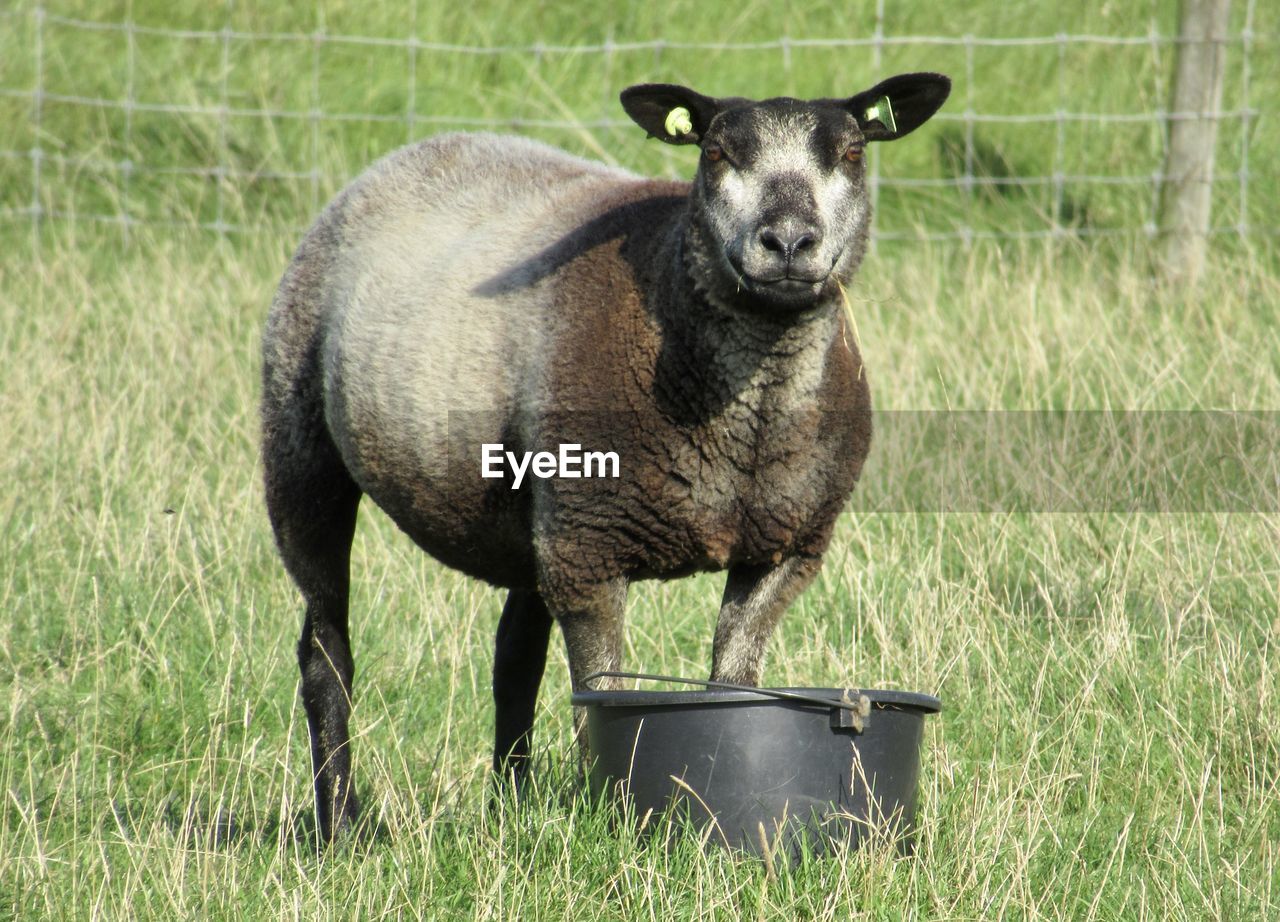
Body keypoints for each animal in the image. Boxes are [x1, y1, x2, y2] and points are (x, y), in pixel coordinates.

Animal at [259, 73, 952, 845]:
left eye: (854, 152)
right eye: (716, 152)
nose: (789, 241)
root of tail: (414, 151)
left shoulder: (785, 546)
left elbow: (730, 680)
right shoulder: (591, 553)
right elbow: (604, 700)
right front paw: (608, 818)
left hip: (539, 512)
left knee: (514, 659)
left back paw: (510, 803)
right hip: (301, 449)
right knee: (325, 651)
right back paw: (340, 823)